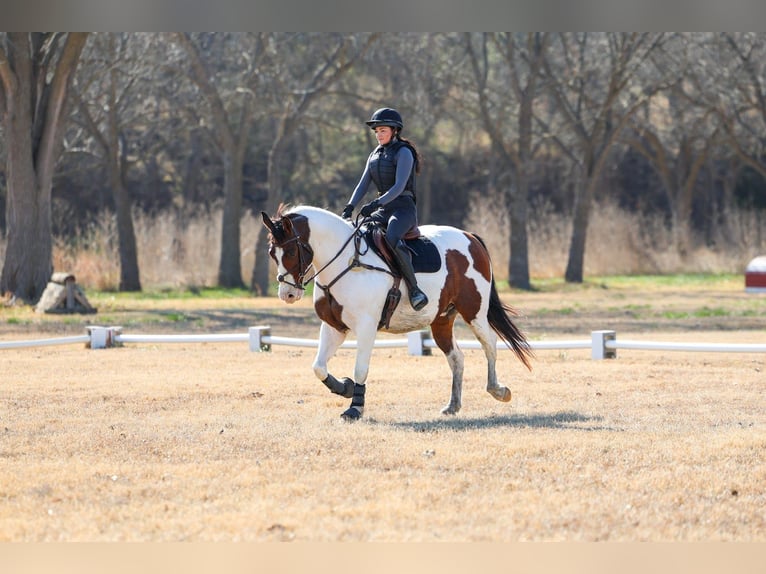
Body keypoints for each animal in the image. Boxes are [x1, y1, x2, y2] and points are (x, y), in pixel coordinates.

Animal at [261, 204, 533, 421]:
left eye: (292, 252)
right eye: (272, 253)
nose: (288, 295)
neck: (345, 262)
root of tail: (470, 237)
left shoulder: (366, 327)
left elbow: (360, 369)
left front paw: (355, 408)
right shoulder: (334, 327)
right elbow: (318, 367)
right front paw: (345, 388)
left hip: (474, 311)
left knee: (490, 344)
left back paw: (498, 390)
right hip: (441, 320)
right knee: (456, 357)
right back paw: (453, 405)